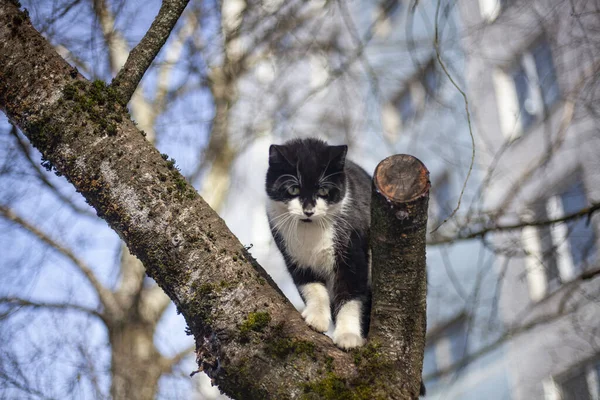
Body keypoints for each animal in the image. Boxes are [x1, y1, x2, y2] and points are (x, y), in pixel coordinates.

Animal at [266, 138, 372, 350]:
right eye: (294, 189)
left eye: (323, 190)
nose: (308, 211)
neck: (311, 230)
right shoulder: (294, 257)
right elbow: (311, 286)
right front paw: (316, 318)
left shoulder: (354, 253)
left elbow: (351, 295)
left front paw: (348, 335)